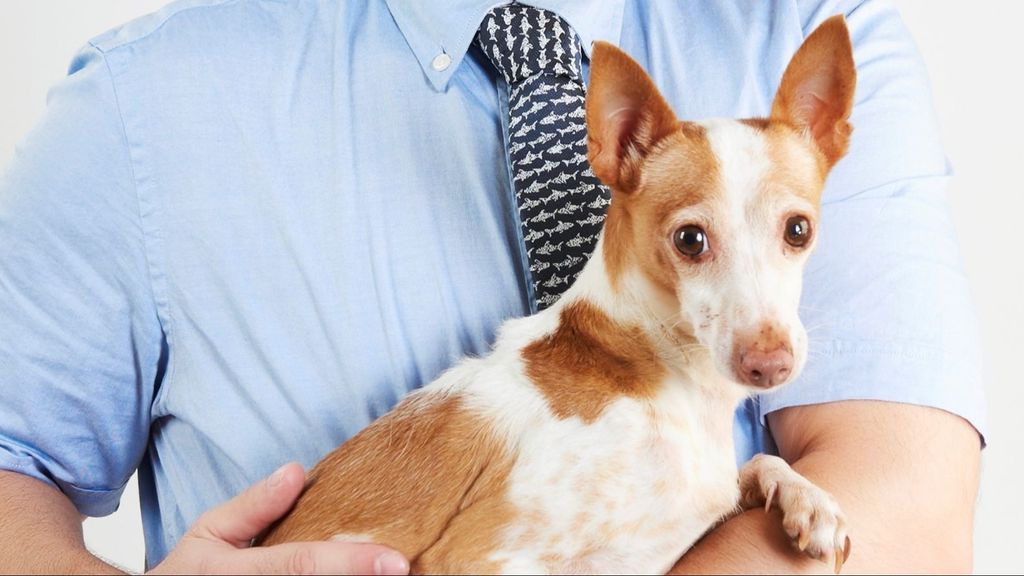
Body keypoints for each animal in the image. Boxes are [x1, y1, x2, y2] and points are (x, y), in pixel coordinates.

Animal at [262, 13, 856, 573]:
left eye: (798, 230)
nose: (770, 364)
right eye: (689, 240)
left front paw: (808, 498)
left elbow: (756, 465)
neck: (660, 372)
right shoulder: (474, 556)